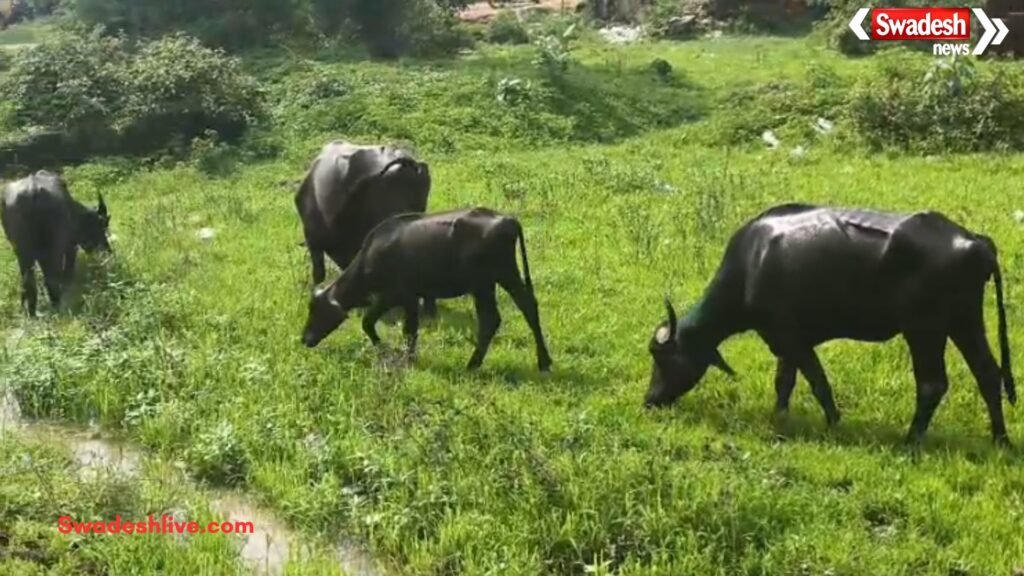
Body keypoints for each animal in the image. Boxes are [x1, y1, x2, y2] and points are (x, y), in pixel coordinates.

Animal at [1, 170, 111, 316]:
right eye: (101, 225)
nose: (107, 249)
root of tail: (33, 191)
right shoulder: (70, 247)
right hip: (53, 250)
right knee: (51, 280)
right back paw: (56, 306)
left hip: (22, 252)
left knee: (28, 282)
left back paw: (30, 311)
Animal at [301, 207, 553, 373]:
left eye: (317, 310)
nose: (305, 339)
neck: (372, 256)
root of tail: (507, 220)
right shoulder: (412, 299)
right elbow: (410, 330)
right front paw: (410, 357)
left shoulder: (392, 295)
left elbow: (370, 323)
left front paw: (387, 350)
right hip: (495, 282)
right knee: (512, 311)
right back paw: (540, 361)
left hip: (491, 281)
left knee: (505, 314)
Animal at [645, 203, 1015, 446]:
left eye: (661, 358)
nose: (649, 400)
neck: (752, 265)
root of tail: (974, 241)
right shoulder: (783, 342)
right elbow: (784, 382)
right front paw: (779, 418)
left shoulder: (793, 339)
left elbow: (818, 382)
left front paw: (834, 423)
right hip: (964, 322)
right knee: (988, 373)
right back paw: (1000, 439)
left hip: (925, 330)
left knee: (932, 384)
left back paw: (910, 441)